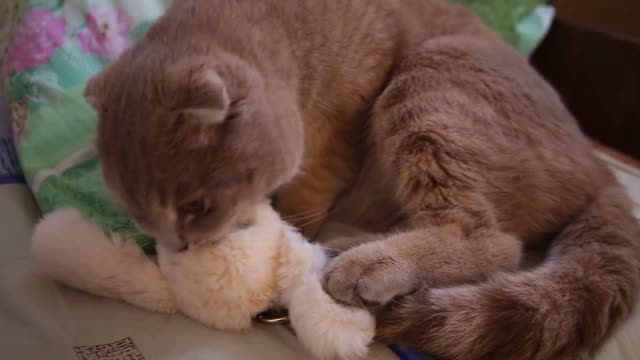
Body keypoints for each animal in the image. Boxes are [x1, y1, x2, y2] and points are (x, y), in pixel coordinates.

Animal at [85, 0, 640, 360]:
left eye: (196, 206)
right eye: (137, 214)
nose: (177, 248)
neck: (291, 42)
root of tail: (599, 170)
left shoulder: (332, 145)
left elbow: (303, 200)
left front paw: (287, 239)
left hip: (433, 79)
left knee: (493, 241)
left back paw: (365, 261)